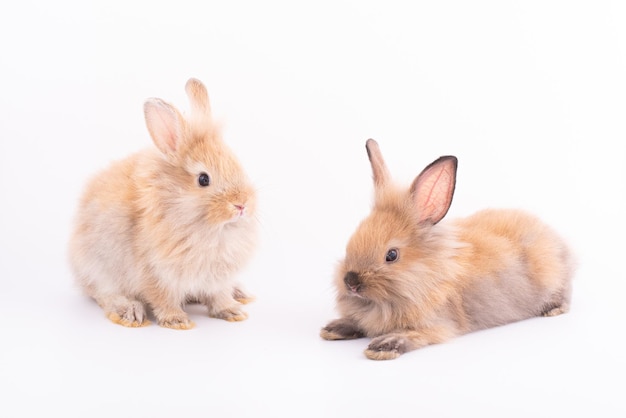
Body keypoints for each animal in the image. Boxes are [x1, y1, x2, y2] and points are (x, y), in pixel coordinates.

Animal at [66, 76, 256, 328]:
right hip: (97, 268)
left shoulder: (217, 280)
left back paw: (241, 294)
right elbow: (163, 299)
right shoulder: (155, 273)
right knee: (106, 294)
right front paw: (178, 322)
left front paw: (233, 312)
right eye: (203, 179)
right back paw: (130, 313)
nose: (241, 204)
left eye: (238, 164)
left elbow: (219, 296)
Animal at [320, 140, 572, 360]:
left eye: (391, 255)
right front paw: (333, 329)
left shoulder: (438, 325)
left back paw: (553, 309)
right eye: (351, 241)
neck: (426, 275)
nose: (351, 282)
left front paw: (383, 347)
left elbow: (416, 335)